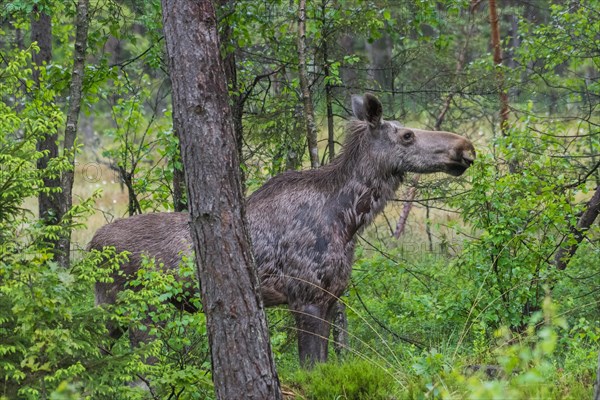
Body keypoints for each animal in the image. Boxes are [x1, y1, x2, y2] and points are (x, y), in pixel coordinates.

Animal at [90, 93, 474, 366]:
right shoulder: (306, 297)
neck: (348, 221)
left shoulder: (331, 298)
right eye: (407, 135)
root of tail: (91, 247)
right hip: (133, 311)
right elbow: (311, 367)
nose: (465, 147)